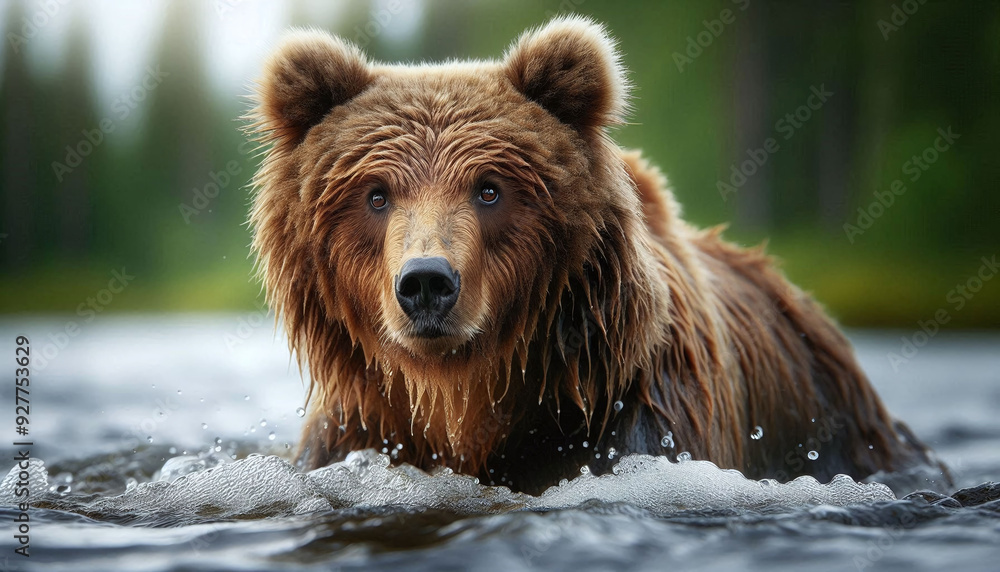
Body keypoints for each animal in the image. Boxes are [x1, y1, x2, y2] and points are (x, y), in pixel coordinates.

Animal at [247, 16, 946, 495]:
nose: (425, 283)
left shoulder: (633, 423)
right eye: (376, 194)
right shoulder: (359, 437)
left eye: (489, 188)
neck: (465, 405)